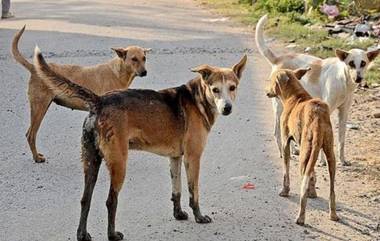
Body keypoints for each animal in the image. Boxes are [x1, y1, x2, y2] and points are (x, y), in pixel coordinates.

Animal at [255, 14, 380, 166]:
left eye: (363, 63)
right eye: (351, 63)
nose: (358, 78)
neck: (344, 80)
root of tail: (279, 58)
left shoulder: (344, 113)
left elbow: (341, 140)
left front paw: (342, 160)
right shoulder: (326, 111)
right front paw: (321, 161)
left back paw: (294, 150)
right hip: (279, 107)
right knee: (276, 132)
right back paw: (283, 152)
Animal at [264, 67, 338, 226]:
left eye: (272, 80)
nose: (266, 92)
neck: (295, 96)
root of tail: (317, 117)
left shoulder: (285, 142)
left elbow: (286, 171)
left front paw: (285, 191)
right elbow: (313, 174)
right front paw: (313, 192)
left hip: (304, 154)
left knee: (302, 185)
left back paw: (301, 217)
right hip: (329, 154)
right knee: (332, 189)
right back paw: (333, 214)